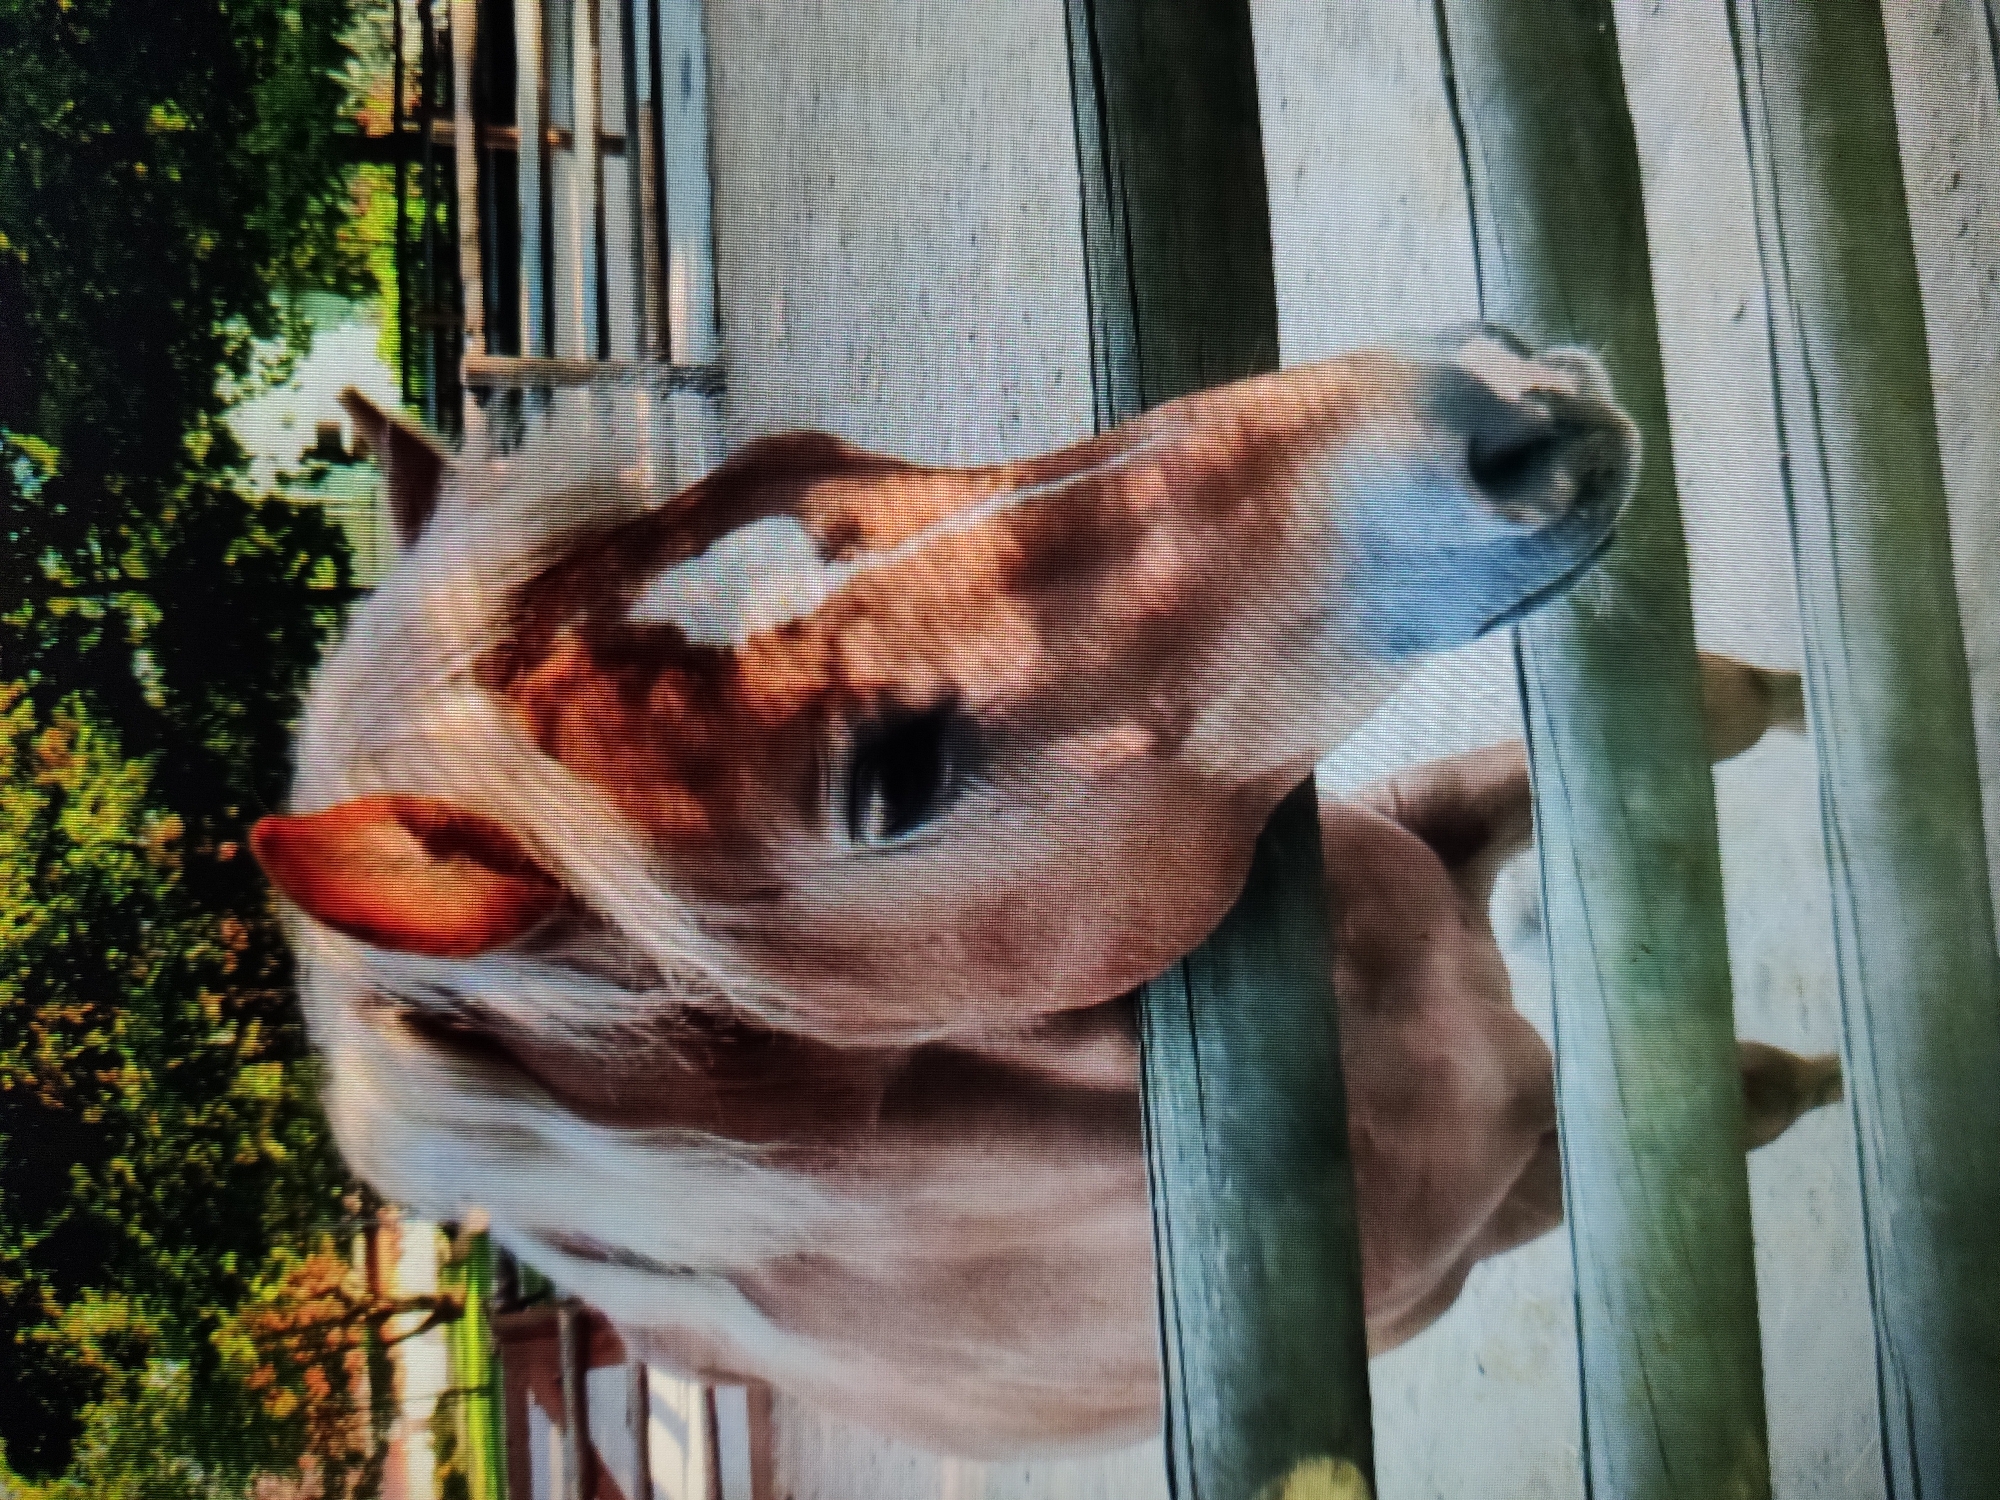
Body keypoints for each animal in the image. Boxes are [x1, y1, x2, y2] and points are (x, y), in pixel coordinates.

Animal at [250, 327, 1840, 1455]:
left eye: (804, 451)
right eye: (893, 779)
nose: (1502, 410)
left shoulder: (1416, 830)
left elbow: (1726, 706)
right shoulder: (1527, 1181)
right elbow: (1763, 1095)